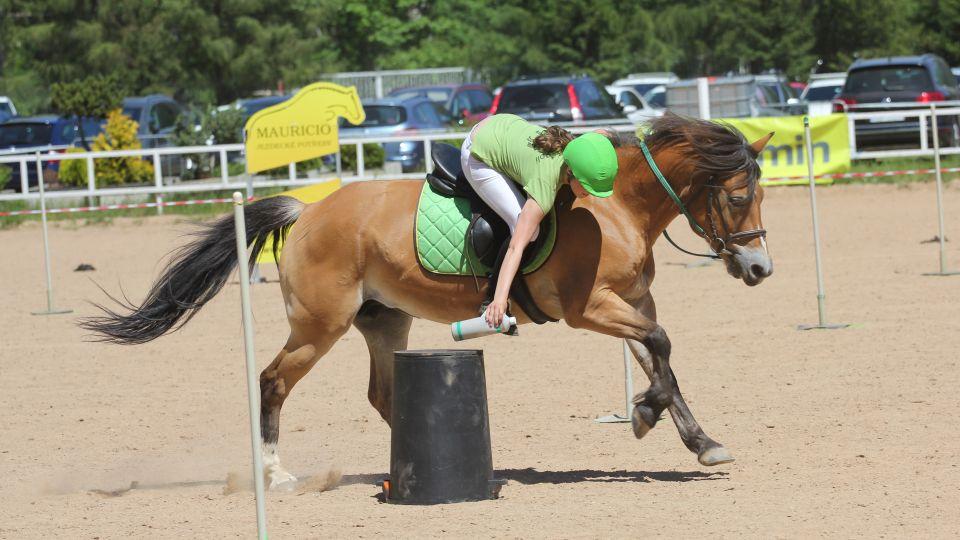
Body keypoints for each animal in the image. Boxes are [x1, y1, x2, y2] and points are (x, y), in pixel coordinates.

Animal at [82, 113, 774, 490]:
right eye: (739, 197)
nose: (761, 268)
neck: (616, 207)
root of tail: (308, 211)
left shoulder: (633, 301)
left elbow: (662, 359)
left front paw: (693, 437)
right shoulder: (592, 309)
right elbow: (660, 348)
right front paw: (646, 415)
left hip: (385, 321)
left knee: (382, 395)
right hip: (319, 327)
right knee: (273, 382)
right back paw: (277, 475)